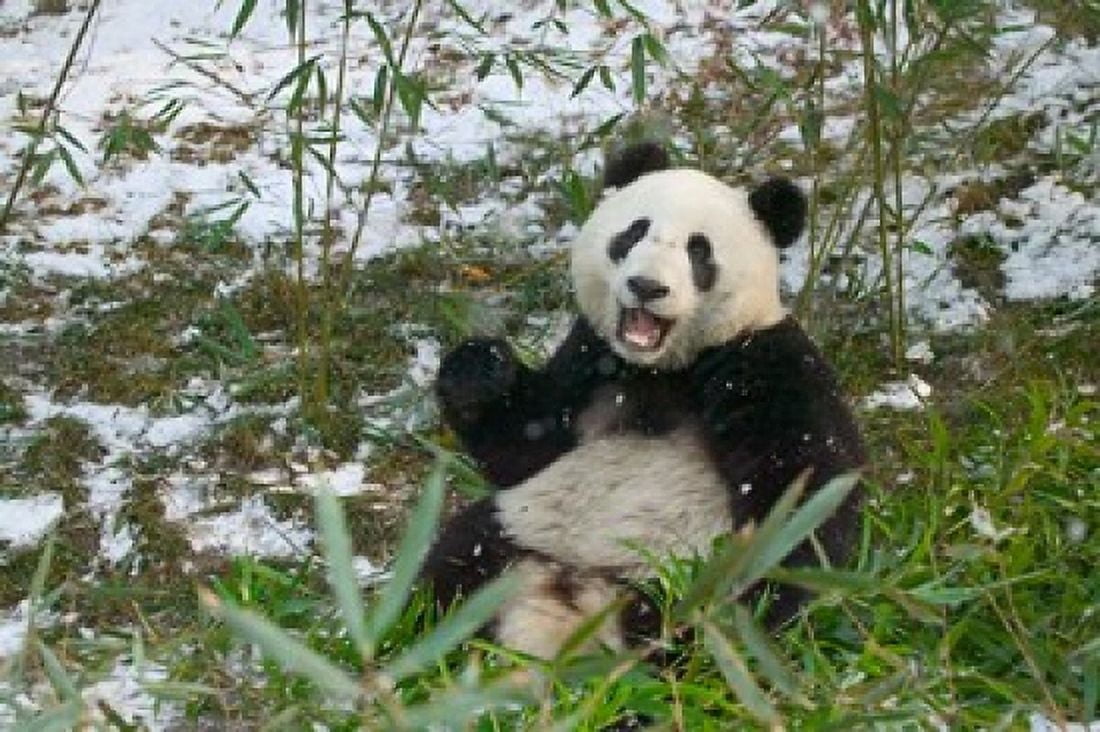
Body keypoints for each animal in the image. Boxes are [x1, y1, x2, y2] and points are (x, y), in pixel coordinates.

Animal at [421, 142, 866, 660]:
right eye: (633, 232)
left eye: (699, 251)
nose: (647, 287)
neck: (664, 367)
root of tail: (569, 597)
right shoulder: (592, 357)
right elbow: (526, 447)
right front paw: (479, 368)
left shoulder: (765, 363)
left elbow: (805, 490)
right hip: (521, 528)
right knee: (449, 564)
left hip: (671, 576)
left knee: (682, 632)